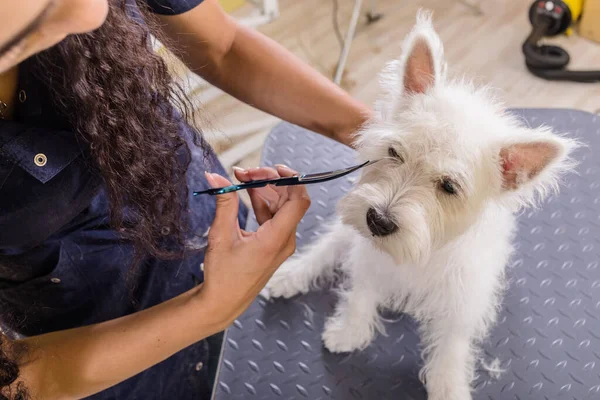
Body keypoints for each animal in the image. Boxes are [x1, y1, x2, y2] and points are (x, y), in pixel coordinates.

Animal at [262, 10, 576, 400]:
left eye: (449, 186)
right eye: (394, 152)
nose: (378, 221)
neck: (422, 254)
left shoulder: (464, 295)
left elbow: (452, 344)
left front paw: (448, 385)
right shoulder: (369, 256)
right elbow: (361, 293)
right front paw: (349, 331)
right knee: (327, 247)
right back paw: (290, 275)